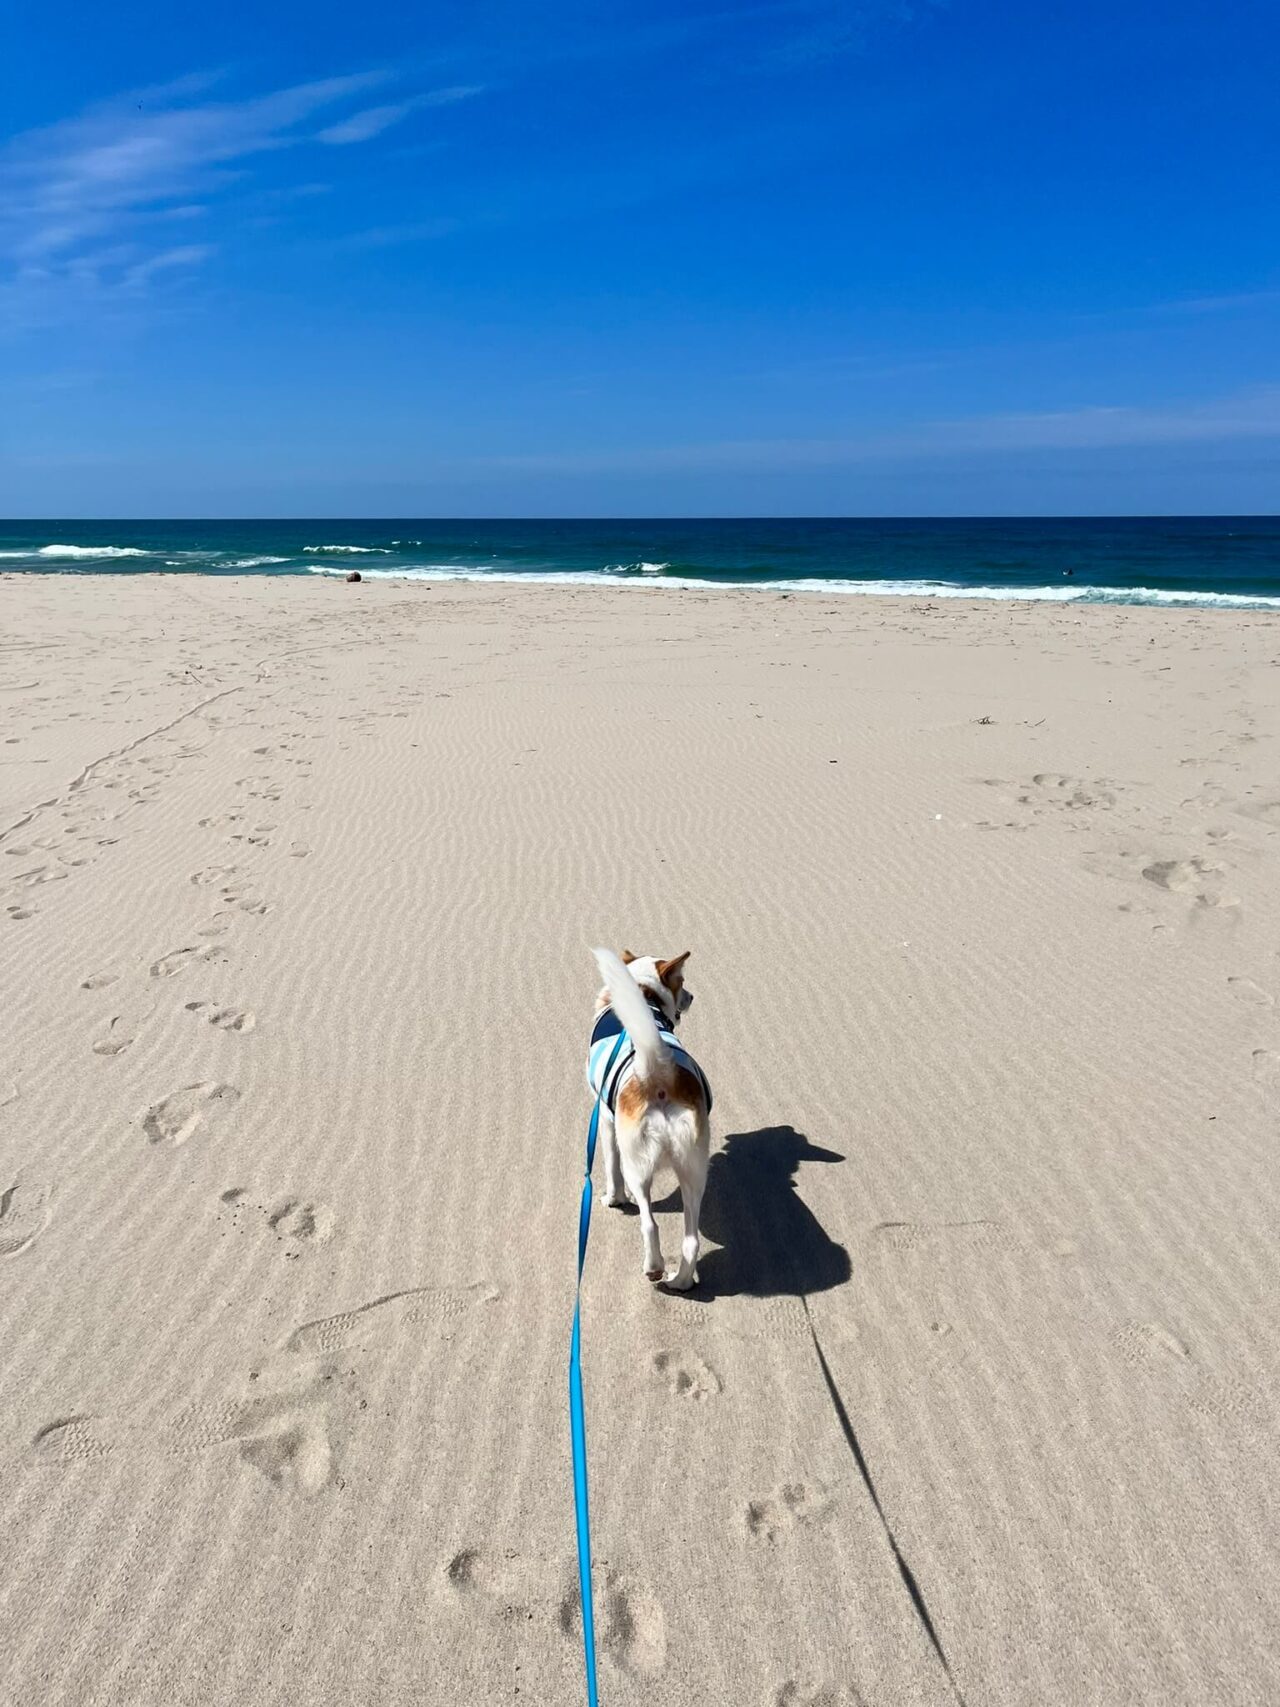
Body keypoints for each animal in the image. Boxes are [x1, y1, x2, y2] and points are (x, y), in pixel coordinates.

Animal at [590, 949, 713, 1290]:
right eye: (681, 982)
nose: (693, 996)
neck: (646, 997)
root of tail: (659, 1071)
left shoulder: (605, 1121)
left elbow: (611, 1169)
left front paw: (613, 1199)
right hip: (694, 1170)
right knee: (691, 1241)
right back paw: (680, 1282)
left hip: (638, 1165)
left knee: (649, 1224)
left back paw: (654, 1268)